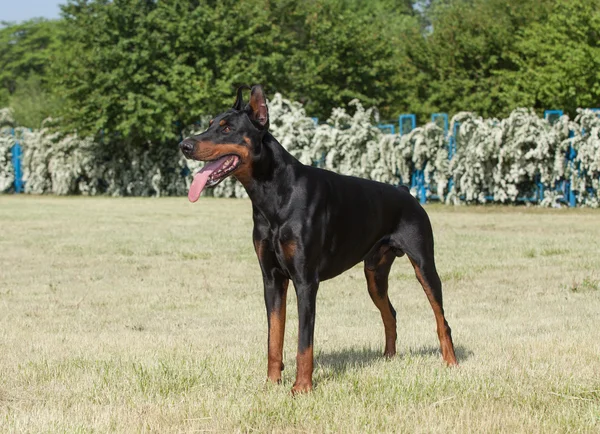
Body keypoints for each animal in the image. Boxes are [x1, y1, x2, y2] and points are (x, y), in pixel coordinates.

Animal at [180, 84, 458, 394]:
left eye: (227, 128)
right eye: (209, 124)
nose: (185, 146)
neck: (274, 194)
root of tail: (405, 191)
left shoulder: (305, 281)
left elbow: (304, 342)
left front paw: (301, 388)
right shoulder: (272, 278)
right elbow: (274, 336)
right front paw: (272, 383)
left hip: (424, 264)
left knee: (441, 318)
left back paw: (451, 363)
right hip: (374, 274)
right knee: (391, 313)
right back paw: (388, 358)